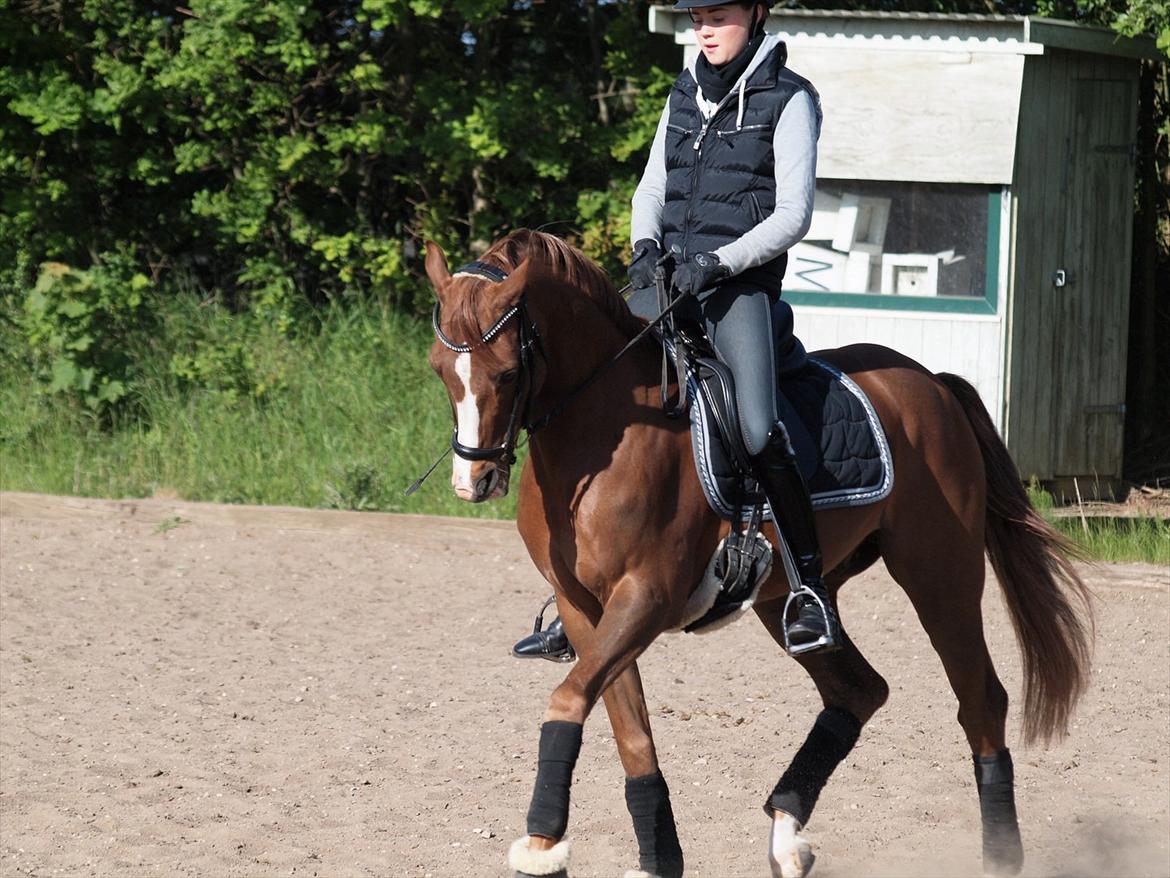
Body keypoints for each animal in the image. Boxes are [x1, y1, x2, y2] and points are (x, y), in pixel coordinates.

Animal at [422, 229, 1092, 878]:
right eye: (440, 371)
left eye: (508, 373)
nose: (473, 482)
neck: (600, 432)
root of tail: (932, 382)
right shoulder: (584, 609)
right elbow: (627, 732)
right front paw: (643, 857)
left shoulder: (646, 599)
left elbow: (566, 700)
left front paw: (539, 846)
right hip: (788, 596)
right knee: (858, 689)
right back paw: (787, 838)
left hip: (940, 575)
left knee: (980, 700)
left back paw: (1000, 857)